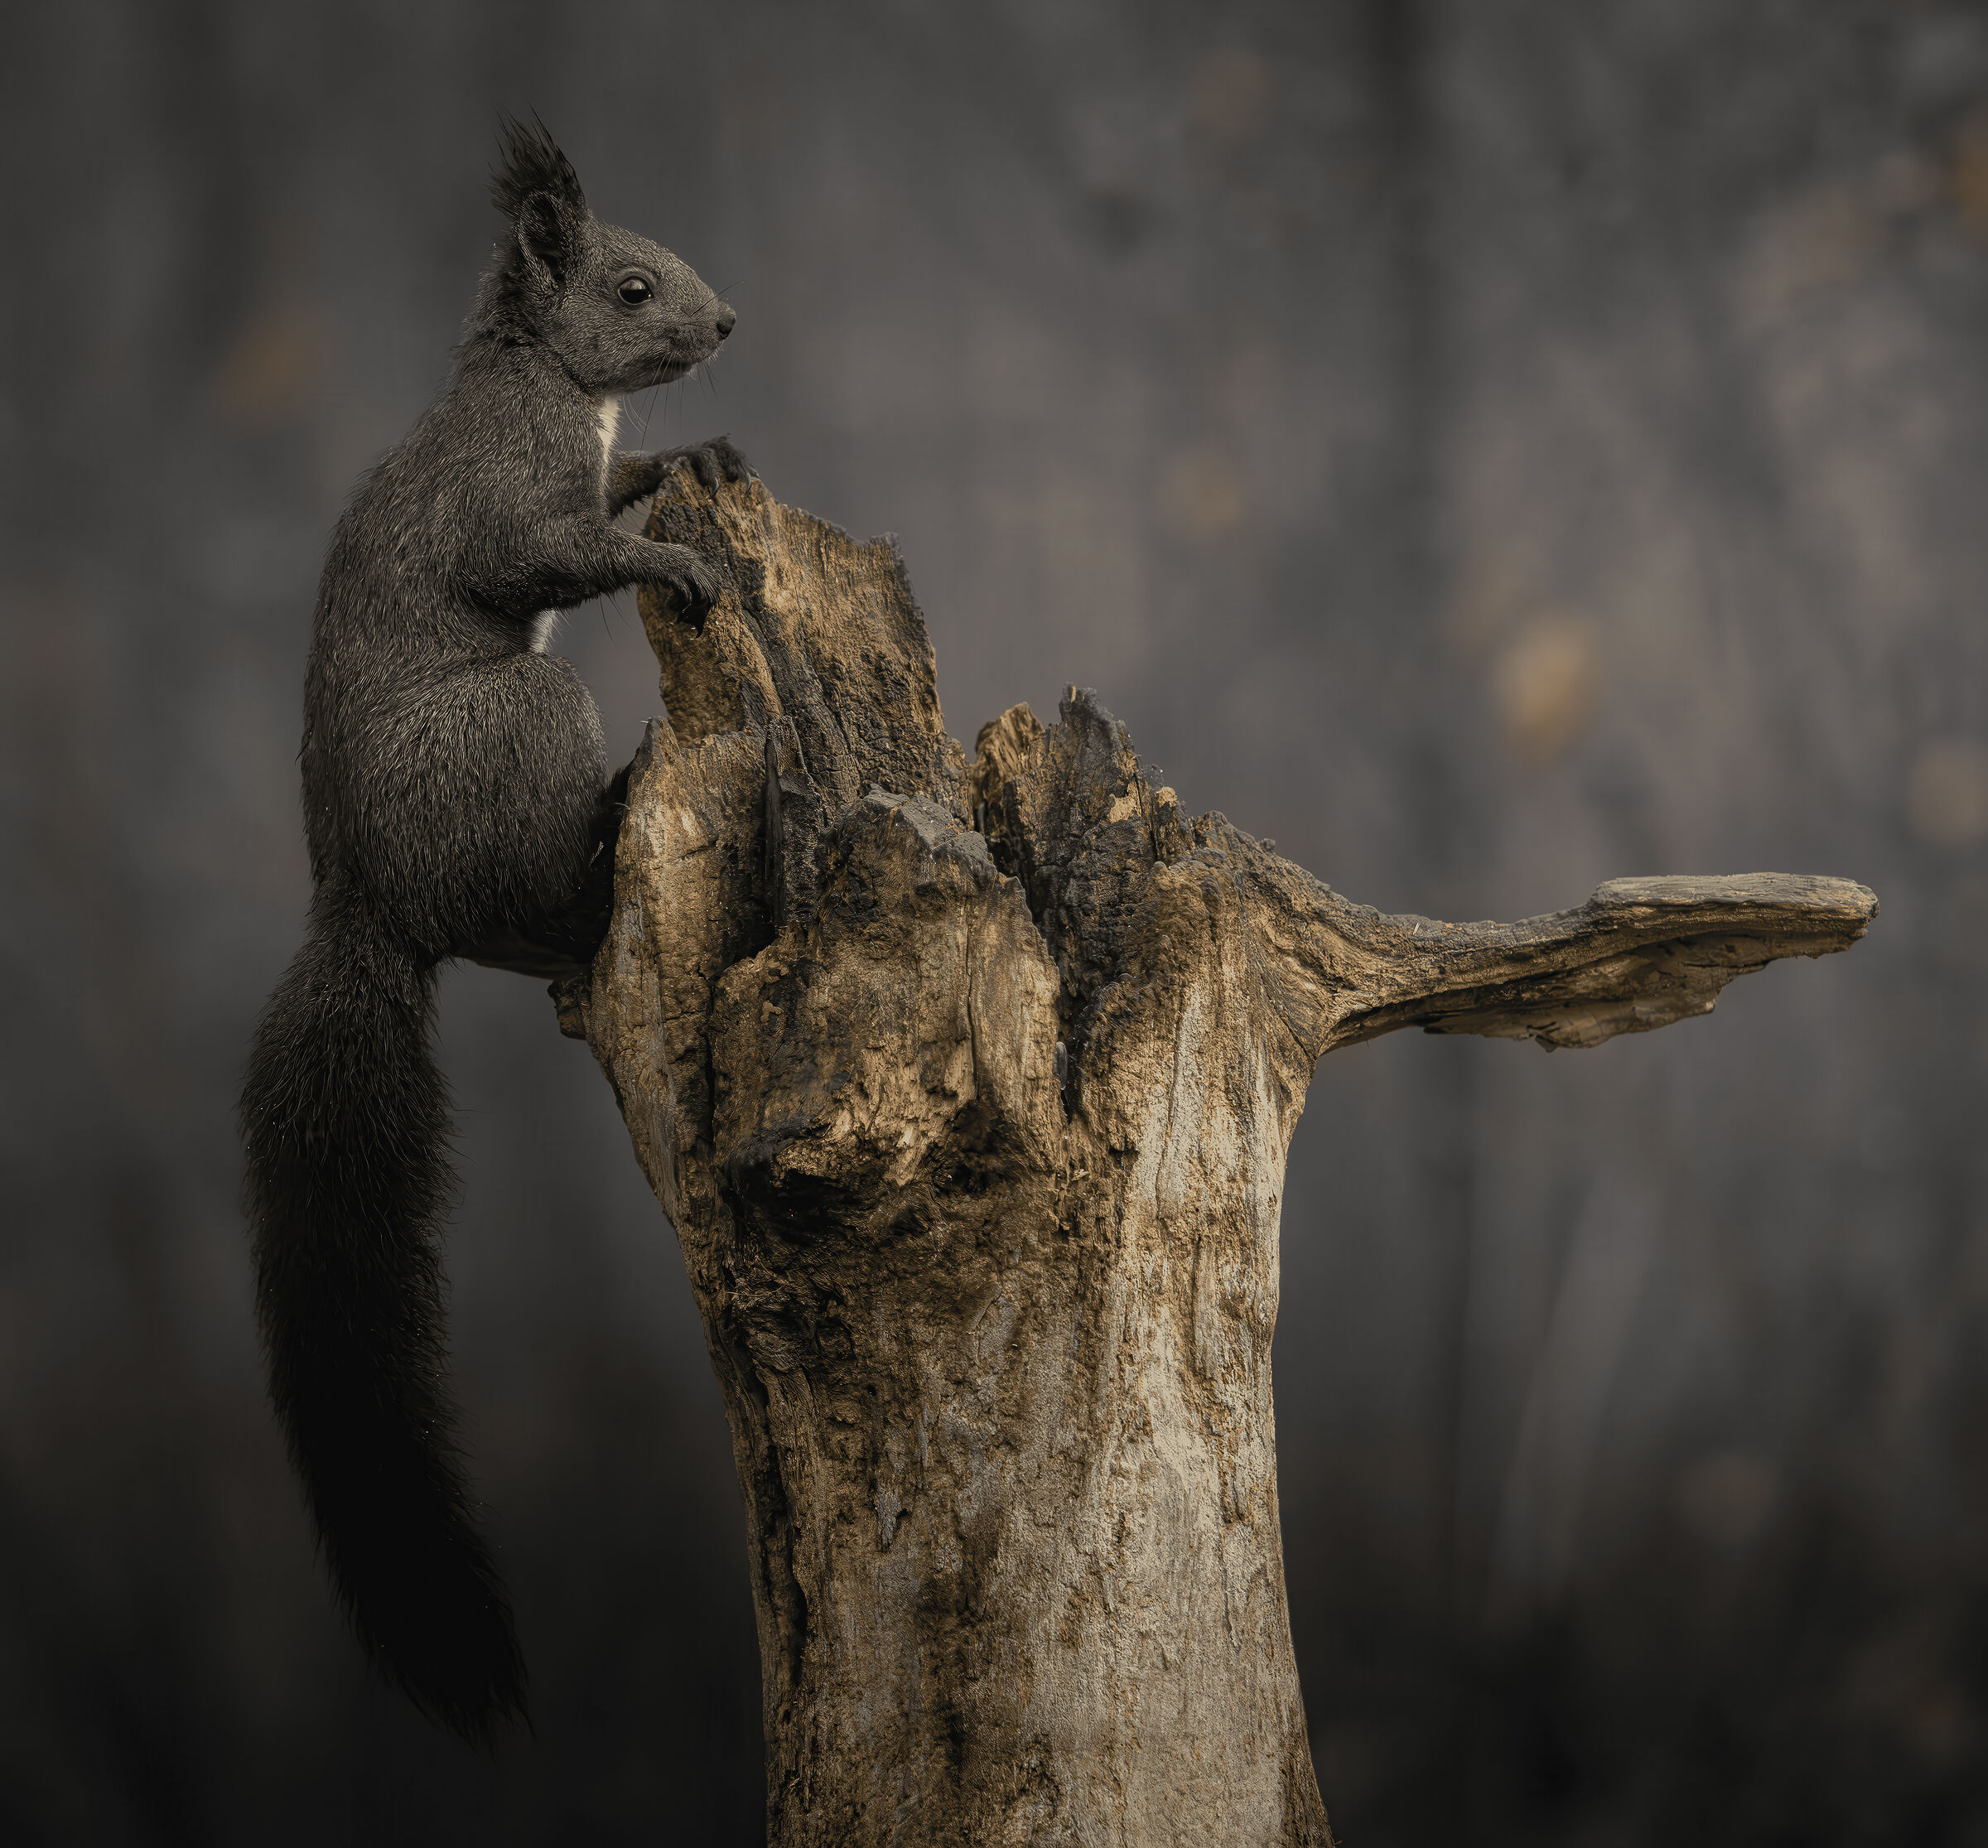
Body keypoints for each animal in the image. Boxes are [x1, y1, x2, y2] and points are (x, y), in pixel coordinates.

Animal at [238, 119, 747, 1742]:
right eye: (631, 284)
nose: (728, 327)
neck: (552, 389)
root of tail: (367, 902)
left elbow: (629, 483)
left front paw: (695, 462)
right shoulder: (509, 497)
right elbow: (546, 557)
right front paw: (670, 558)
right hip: (517, 722)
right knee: (521, 887)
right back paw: (597, 842)